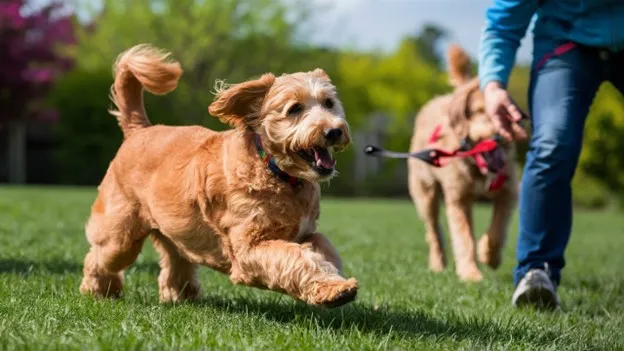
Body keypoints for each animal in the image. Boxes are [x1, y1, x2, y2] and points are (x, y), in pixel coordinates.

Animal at [79, 43, 356, 308]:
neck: (275, 171)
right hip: (121, 234)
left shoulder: (305, 232)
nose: (333, 131)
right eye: (294, 109)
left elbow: (323, 248)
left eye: (329, 103)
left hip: (175, 228)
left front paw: (335, 283)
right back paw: (97, 290)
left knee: (175, 259)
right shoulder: (249, 248)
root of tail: (139, 131)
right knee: (99, 256)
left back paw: (181, 295)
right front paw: (333, 290)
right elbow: (297, 257)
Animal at [408, 45, 520, 284]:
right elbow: (463, 237)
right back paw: (437, 263)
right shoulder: (459, 198)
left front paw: (489, 256)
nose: (498, 136)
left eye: (503, 114)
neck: (479, 167)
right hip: (425, 192)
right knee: (433, 230)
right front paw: (470, 273)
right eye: (478, 111)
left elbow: (498, 230)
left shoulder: (509, 191)